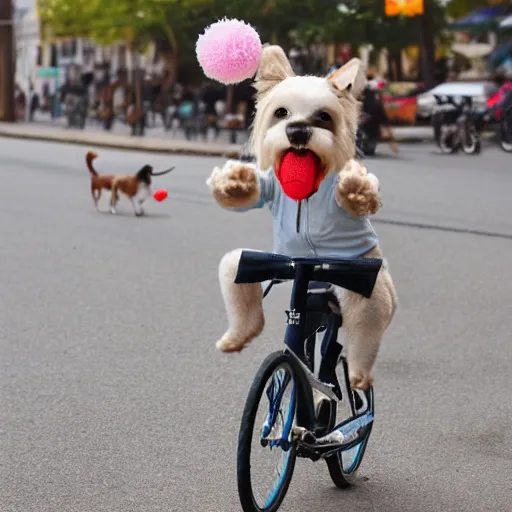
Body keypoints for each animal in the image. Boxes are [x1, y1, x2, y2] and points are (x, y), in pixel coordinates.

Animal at [206, 49, 398, 392]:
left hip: (363, 276)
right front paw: (236, 181)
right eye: (281, 113)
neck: (307, 195)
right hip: (258, 264)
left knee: (370, 314)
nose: (297, 131)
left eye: (324, 117)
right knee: (233, 271)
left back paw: (359, 373)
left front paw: (355, 189)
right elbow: (246, 195)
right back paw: (239, 335)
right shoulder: (272, 186)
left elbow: (361, 197)